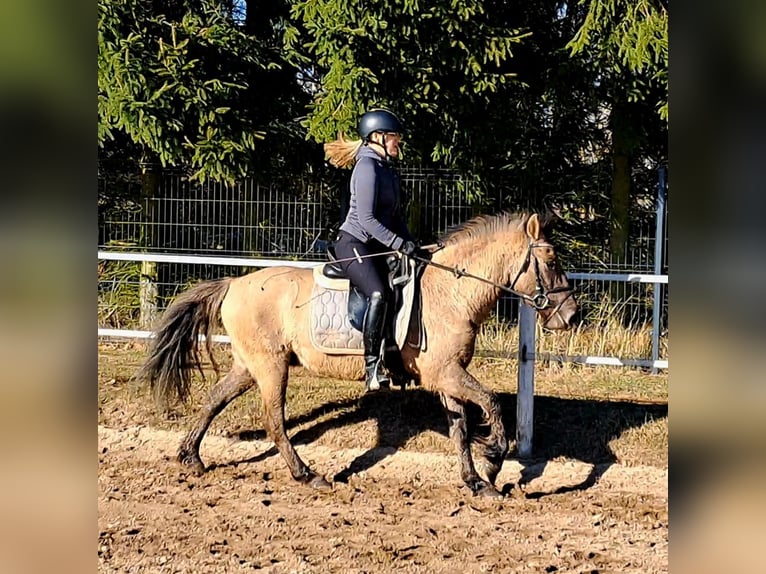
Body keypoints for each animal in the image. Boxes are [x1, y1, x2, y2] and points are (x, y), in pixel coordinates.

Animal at [136, 211, 577, 497]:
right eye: (551, 260)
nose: (572, 316)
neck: (451, 292)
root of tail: (232, 284)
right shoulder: (447, 373)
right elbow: (489, 404)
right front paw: (494, 460)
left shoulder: (448, 373)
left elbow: (460, 428)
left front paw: (475, 481)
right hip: (271, 366)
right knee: (274, 421)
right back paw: (306, 475)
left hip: (249, 365)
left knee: (215, 400)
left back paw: (190, 456)